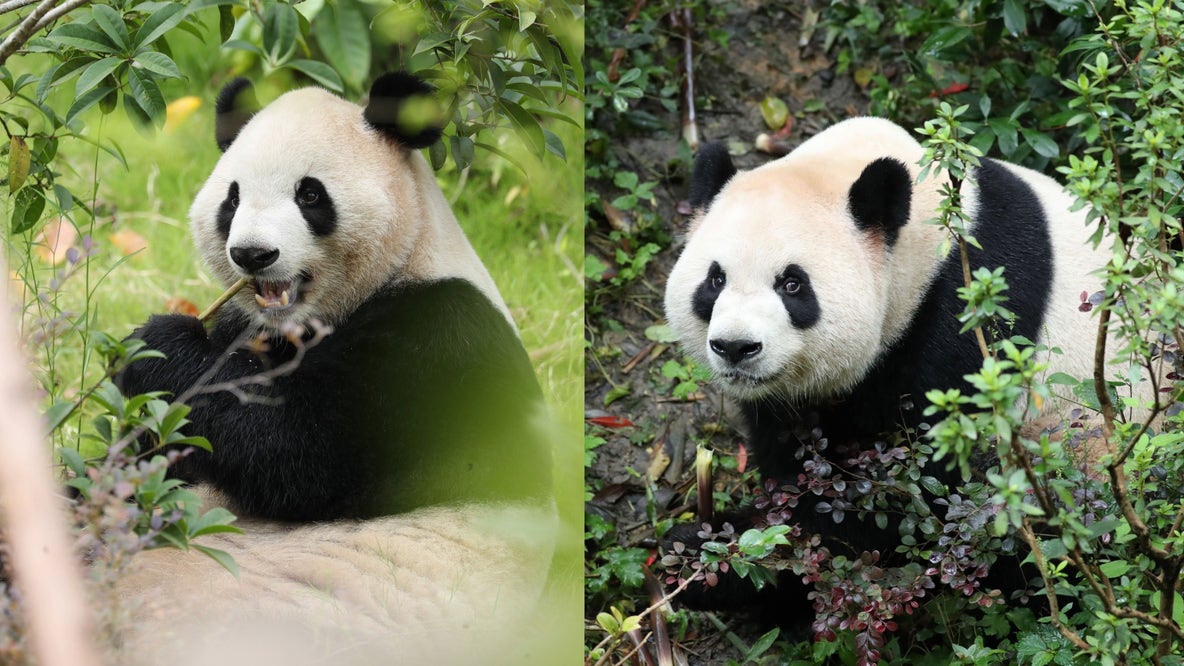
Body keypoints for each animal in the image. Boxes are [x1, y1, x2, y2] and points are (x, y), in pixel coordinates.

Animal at [109, 73, 556, 664]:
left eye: (310, 195)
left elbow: (297, 450)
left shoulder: (442, 341)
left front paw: (156, 347)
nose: (252, 255)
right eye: (232, 197)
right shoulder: (248, 325)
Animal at [663, 117, 1115, 628]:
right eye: (715, 280)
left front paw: (721, 561)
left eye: (792, 285)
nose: (736, 347)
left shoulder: (967, 324)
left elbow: (906, 501)